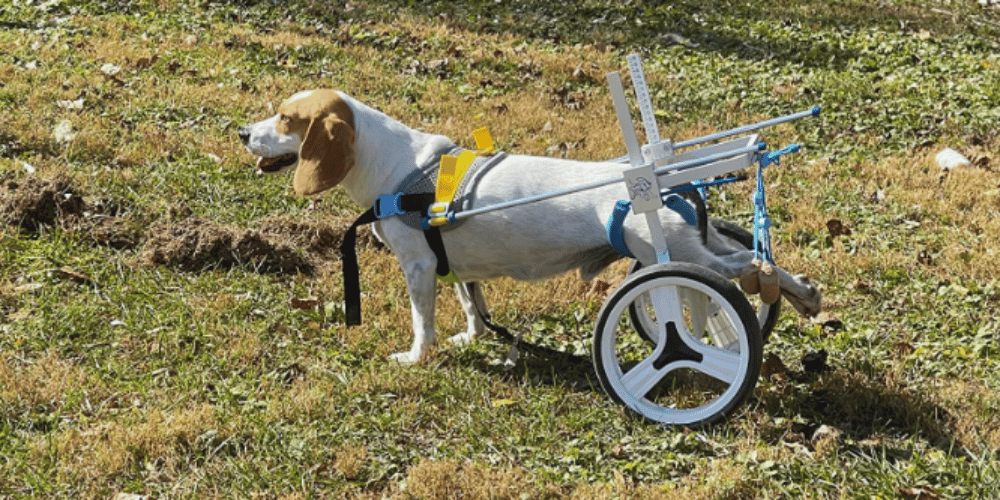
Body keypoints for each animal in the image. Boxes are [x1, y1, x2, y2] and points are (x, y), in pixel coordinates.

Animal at [242, 90, 820, 364]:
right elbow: (471, 306)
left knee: (748, 265)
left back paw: (788, 291)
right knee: (747, 259)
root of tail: (660, 180)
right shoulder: (457, 268)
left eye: (287, 118)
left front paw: (415, 357)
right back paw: (801, 294)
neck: (396, 166)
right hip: (693, 242)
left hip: (680, 254)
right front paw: (471, 338)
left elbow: (421, 323)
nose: (244, 132)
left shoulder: (420, 265)